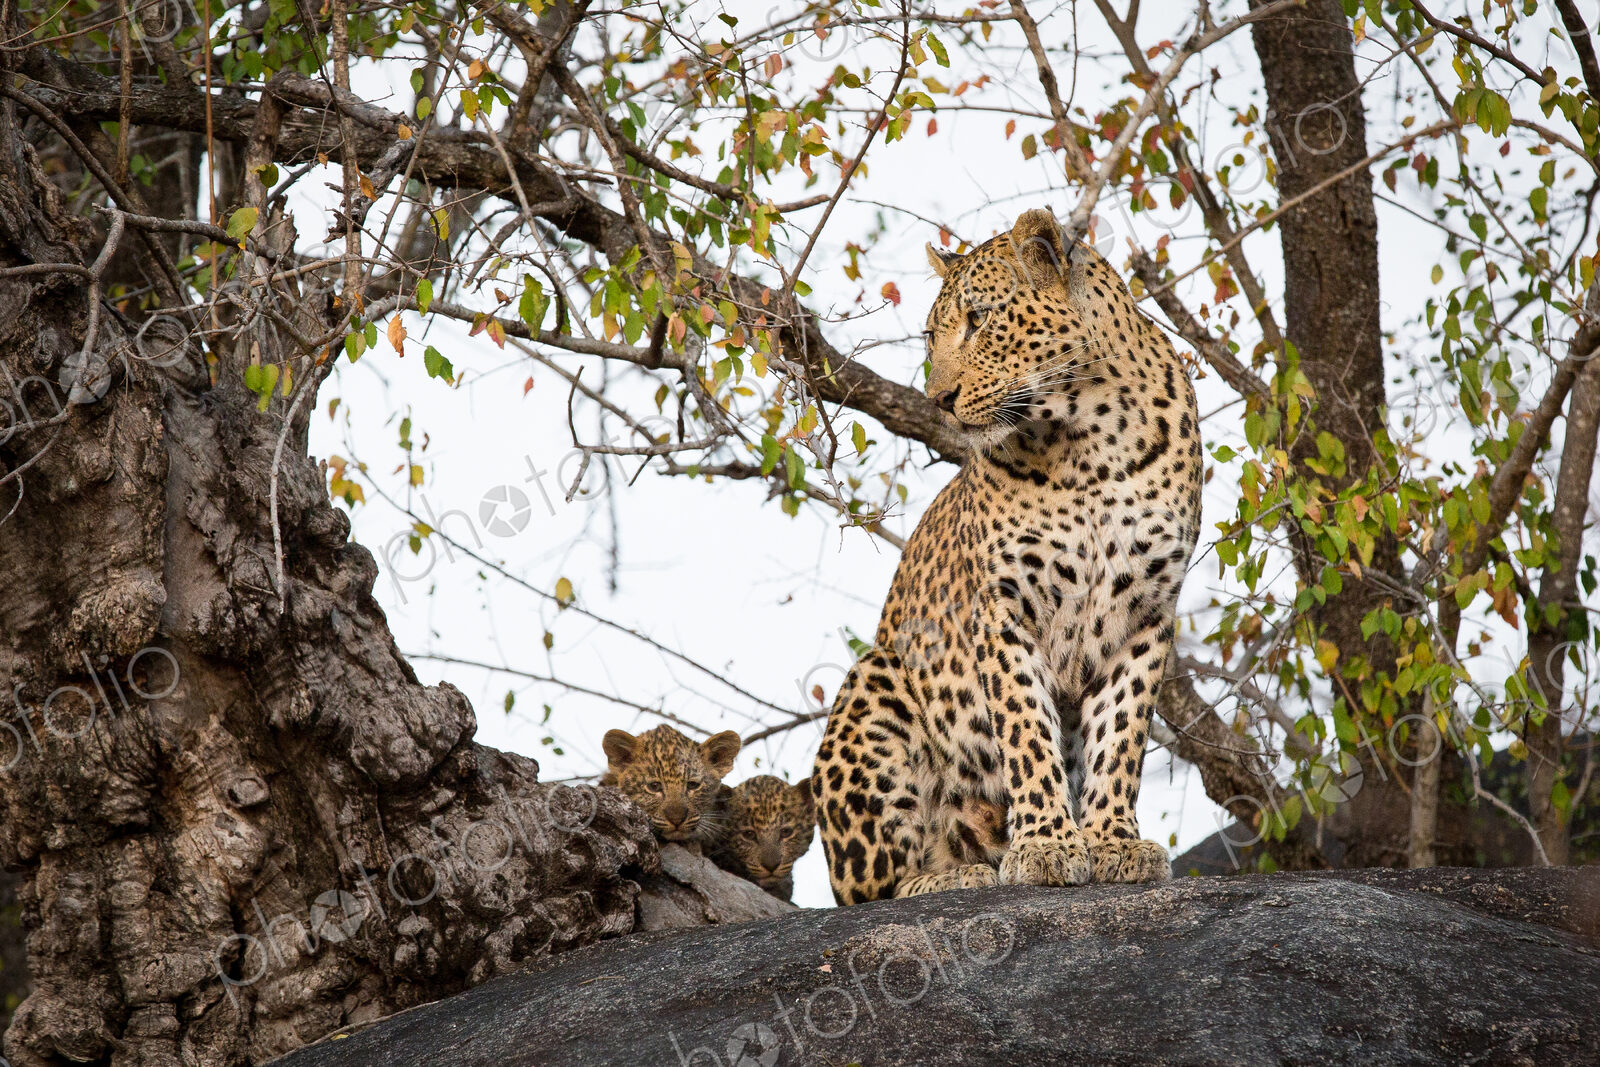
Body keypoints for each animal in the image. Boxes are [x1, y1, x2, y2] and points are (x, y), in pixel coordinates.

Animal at [812, 207, 1202, 905]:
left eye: (979, 319)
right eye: (931, 336)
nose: (938, 399)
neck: (1090, 438)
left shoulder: (1147, 611)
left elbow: (1121, 735)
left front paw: (1111, 842)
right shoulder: (1002, 606)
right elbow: (1025, 727)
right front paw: (1046, 845)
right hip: (874, 679)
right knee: (875, 888)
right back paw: (952, 876)